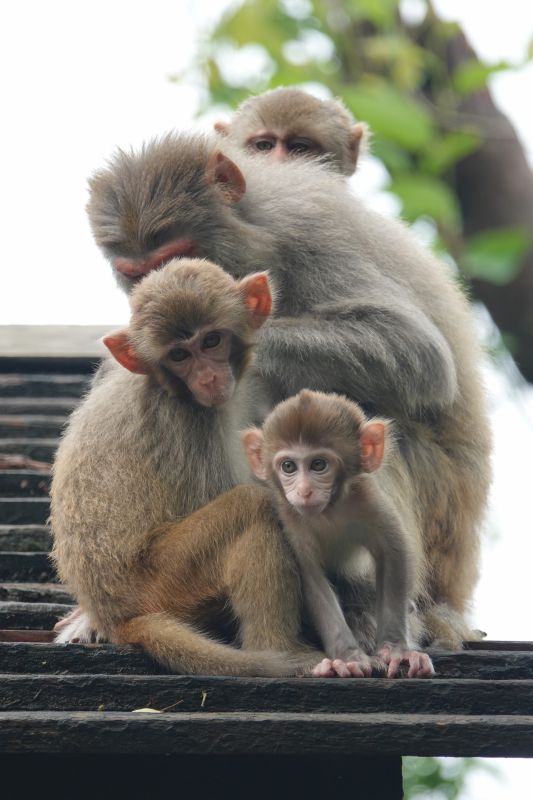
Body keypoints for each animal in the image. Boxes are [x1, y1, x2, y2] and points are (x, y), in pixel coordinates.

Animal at [51, 258, 322, 676]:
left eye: (211, 341)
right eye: (179, 355)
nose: (208, 377)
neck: (168, 388)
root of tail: (117, 620)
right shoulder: (189, 425)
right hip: (161, 584)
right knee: (252, 506)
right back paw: (281, 651)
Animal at [85, 132, 491, 650]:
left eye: (178, 256)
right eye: (139, 273)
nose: (166, 293)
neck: (251, 230)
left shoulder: (305, 233)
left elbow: (419, 352)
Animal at [243, 389, 435, 679]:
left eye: (318, 464)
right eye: (288, 466)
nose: (304, 491)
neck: (329, 511)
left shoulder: (368, 498)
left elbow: (392, 554)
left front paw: (396, 649)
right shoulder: (292, 518)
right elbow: (312, 577)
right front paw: (348, 657)